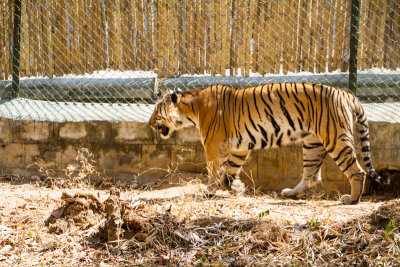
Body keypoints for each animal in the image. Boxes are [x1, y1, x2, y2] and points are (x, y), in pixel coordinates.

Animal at [148, 82, 390, 204]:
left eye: (156, 110)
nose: (149, 124)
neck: (192, 107)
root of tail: (347, 94)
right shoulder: (239, 147)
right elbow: (230, 170)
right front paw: (235, 187)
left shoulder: (212, 146)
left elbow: (214, 170)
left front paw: (208, 190)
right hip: (312, 144)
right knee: (312, 175)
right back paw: (291, 193)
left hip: (335, 138)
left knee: (358, 171)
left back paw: (352, 199)